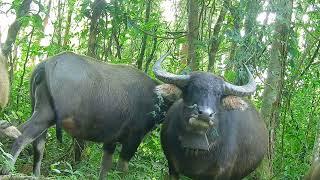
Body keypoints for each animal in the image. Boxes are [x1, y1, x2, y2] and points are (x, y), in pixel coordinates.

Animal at [0, 51, 180, 179]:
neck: (155, 98)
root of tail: (47, 64)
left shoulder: (110, 141)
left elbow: (104, 168)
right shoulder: (133, 139)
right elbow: (122, 170)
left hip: (37, 109)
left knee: (37, 145)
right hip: (45, 115)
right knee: (21, 135)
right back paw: (7, 171)